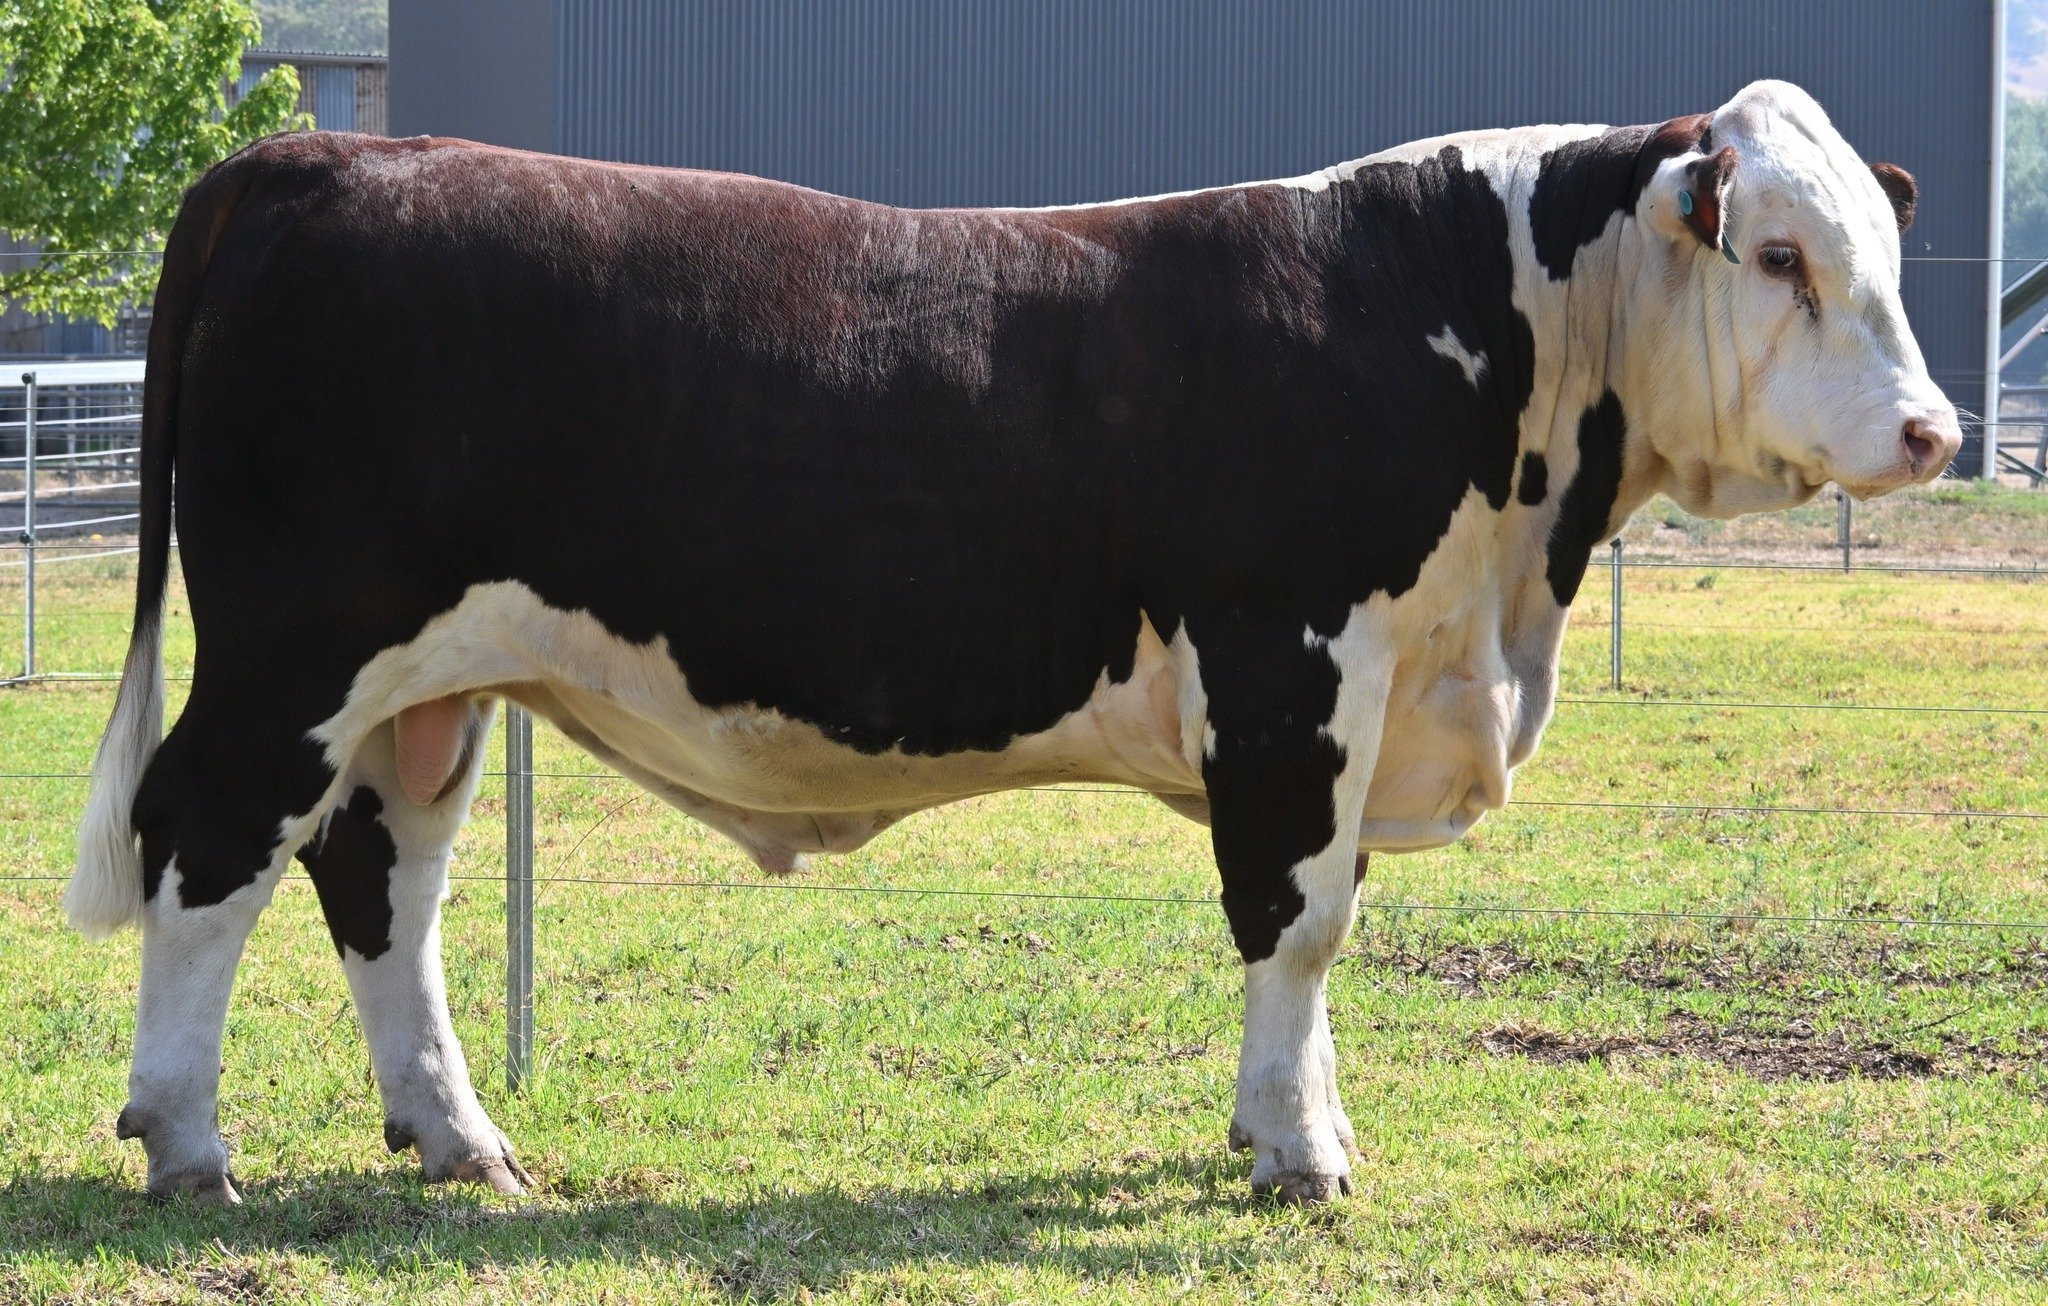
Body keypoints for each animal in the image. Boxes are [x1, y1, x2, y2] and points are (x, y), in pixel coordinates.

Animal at [67, 79, 1959, 1205]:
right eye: (1777, 255)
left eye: (1879, 251)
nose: (1934, 430)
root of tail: (325, 155)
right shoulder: (1288, 660)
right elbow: (1299, 919)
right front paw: (1295, 1156)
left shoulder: (1367, 689)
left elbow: (1320, 915)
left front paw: (1303, 1124)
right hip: (296, 650)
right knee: (209, 844)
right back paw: (186, 1137)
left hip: (430, 685)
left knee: (383, 878)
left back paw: (458, 1137)